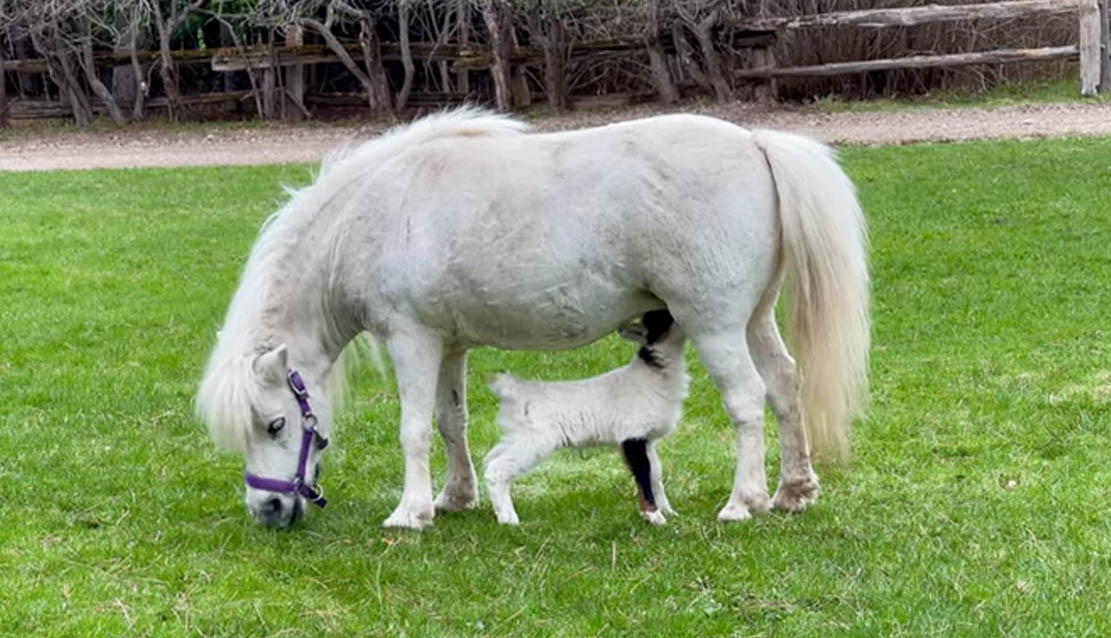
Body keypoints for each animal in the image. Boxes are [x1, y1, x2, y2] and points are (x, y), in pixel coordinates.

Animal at [484, 308, 684, 524]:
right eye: (659, 316)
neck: (655, 372)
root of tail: (513, 390)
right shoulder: (633, 434)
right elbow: (643, 475)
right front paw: (654, 516)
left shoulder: (647, 439)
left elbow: (655, 474)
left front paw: (668, 511)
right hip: (535, 440)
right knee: (497, 468)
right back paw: (509, 519)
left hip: (516, 435)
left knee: (490, 459)